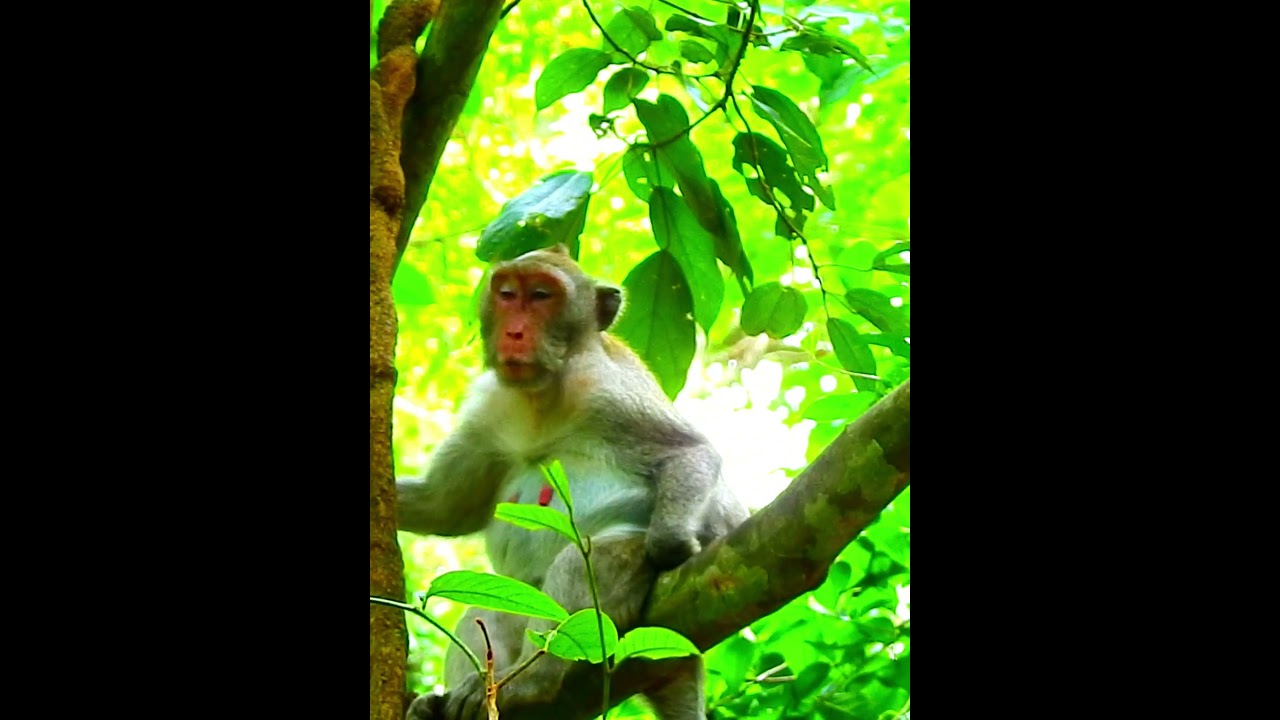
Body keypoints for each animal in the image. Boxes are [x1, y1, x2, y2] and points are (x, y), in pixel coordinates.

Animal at [397, 244, 748, 720]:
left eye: (542, 296)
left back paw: (530, 685)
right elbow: (444, 507)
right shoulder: (489, 412)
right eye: (507, 293)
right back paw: (469, 694)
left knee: (584, 563)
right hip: (523, 601)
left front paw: (672, 545)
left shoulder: (609, 389)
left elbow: (690, 453)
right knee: (485, 612)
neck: (541, 396)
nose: (514, 332)